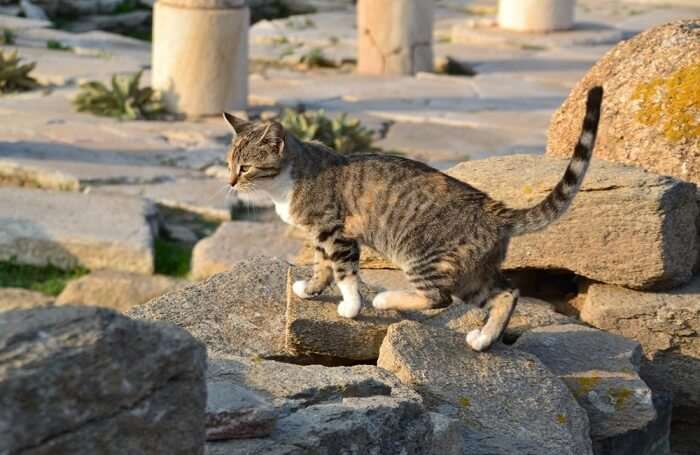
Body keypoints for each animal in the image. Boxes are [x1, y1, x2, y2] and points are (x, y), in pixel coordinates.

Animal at [223, 88, 600, 352]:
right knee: (508, 293)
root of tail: (492, 208)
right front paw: (311, 289)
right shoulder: (320, 236)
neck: (290, 178)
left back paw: (386, 299)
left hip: (421, 255)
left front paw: (351, 307)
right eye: (229, 164)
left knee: (439, 299)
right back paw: (483, 340)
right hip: (472, 273)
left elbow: (344, 272)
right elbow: (323, 266)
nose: (230, 183)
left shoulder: (337, 233)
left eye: (246, 167)